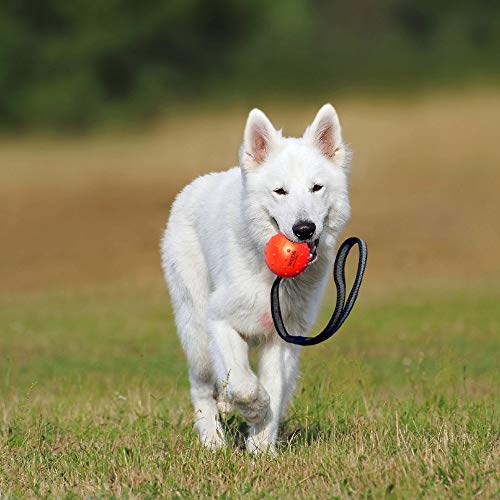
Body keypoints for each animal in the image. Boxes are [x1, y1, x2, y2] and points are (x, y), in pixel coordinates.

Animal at [162, 103, 350, 456]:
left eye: (316, 188)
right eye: (280, 191)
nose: (304, 229)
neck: (272, 275)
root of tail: (193, 187)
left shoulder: (282, 338)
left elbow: (273, 387)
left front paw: (262, 448)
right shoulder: (219, 321)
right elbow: (244, 384)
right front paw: (254, 410)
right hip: (196, 331)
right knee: (201, 386)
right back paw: (212, 441)